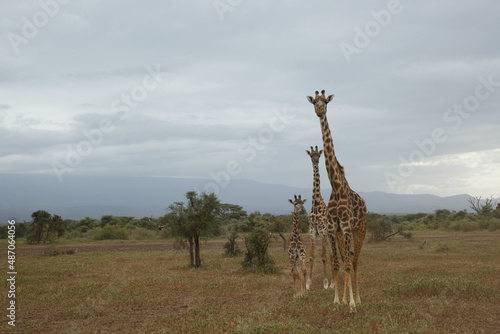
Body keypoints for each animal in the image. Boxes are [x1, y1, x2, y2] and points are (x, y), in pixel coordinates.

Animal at [304, 89, 368, 314]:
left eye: (326, 102)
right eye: (313, 102)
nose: (319, 110)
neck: (336, 185)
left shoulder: (346, 226)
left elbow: (347, 264)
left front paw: (351, 304)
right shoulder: (333, 229)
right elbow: (336, 263)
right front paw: (337, 301)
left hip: (360, 229)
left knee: (355, 261)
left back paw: (358, 299)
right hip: (342, 234)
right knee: (344, 258)